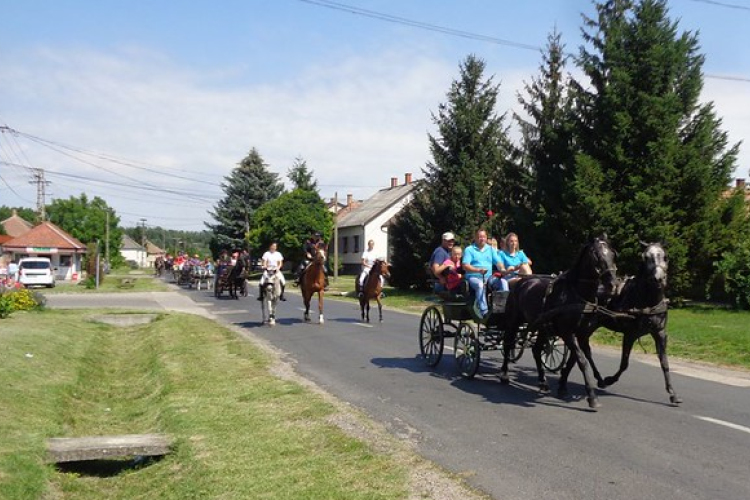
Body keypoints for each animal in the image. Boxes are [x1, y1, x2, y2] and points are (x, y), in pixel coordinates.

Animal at [502, 234, 620, 410]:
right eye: (597, 255)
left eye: (613, 254)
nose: (613, 285)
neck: (578, 295)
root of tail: (522, 282)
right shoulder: (567, 333)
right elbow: (581, 360)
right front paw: (592, 396)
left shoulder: (582, 334)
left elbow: (576, 360)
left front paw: (563, 387)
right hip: (513, 320)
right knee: (508, 343)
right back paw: (504, 374)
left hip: (543, 327)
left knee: (536, 350)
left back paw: (543, 382)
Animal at [572, 242, 684, 406]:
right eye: (645, 257)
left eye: (665, 256)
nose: (658, 278)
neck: (646, 300)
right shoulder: (630, 334)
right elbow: (624, 363)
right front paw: (610, 379)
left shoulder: (660, 333)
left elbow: (664, 362)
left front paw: (673, 393)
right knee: (585, 349)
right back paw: (599, 379)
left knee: (583, 348)